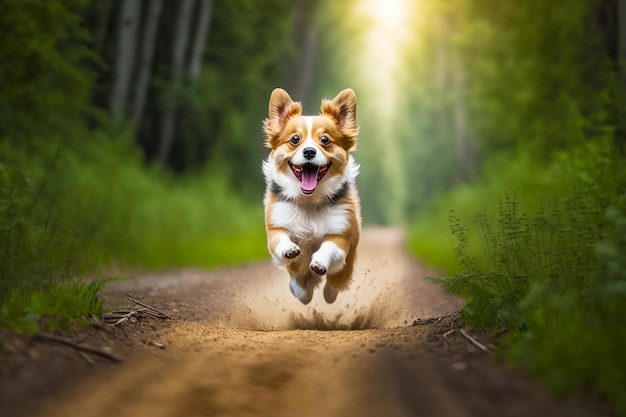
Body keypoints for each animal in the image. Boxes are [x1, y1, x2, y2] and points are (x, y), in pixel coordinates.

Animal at [260, 88, 360, 304]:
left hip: (345, 264)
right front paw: (289, 249)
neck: (308, 201)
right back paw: (301, 290)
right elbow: (280, 241)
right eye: (295, 139)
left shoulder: (340, 236)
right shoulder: (276, 227)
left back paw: (328, 292)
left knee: (335, 283)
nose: (308, 151)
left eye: (325, 140)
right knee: (301, 287)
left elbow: (328, 247)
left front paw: (319, 262)